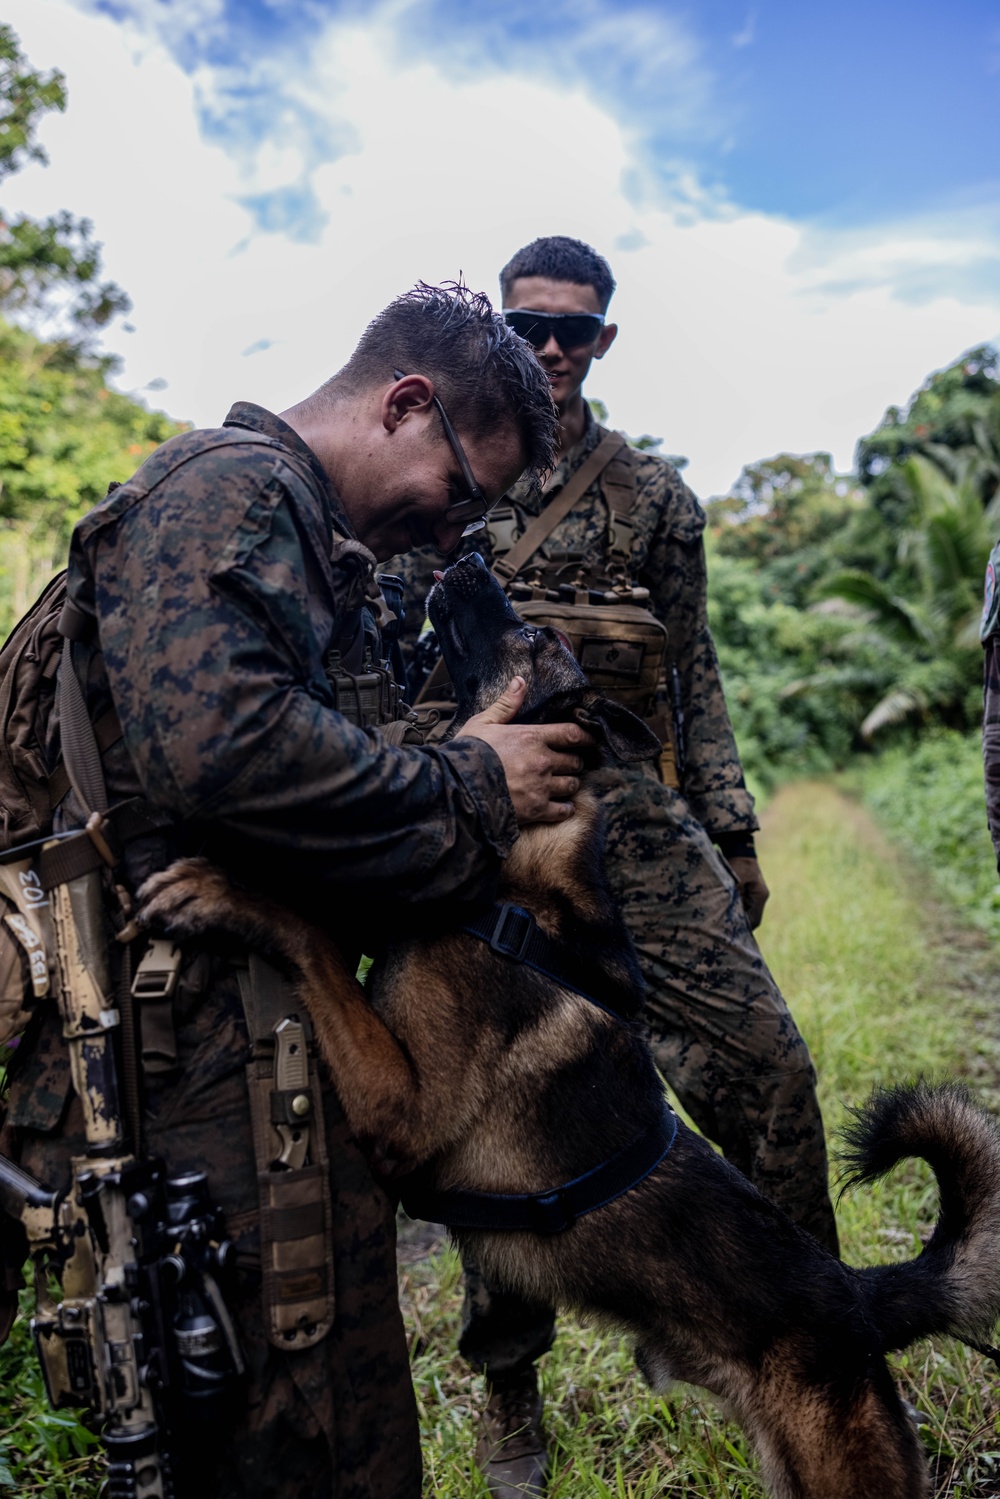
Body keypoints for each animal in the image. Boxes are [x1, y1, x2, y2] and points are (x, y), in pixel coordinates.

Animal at [138, 551, 1000, 1499]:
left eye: (536, 631)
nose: (468, 554)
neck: (514, 884)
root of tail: (859, 1295)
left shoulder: (404, 1113)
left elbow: (315, 945)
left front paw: (225, 890)